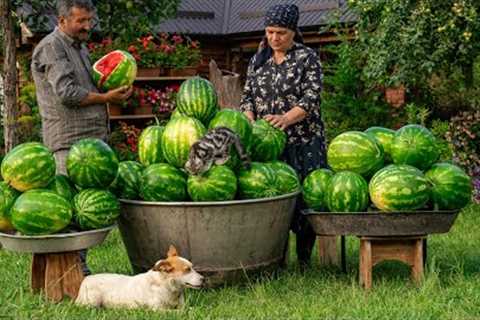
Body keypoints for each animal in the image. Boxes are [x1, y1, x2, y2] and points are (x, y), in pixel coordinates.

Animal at [75, 245, 204, 310]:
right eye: (187, 270)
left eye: (192, 267)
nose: (203, 279)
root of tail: (86, 279)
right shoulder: (158, 310)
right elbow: (177, 312)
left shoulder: (182, 305)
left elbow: (188, 309)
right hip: (92, 302)